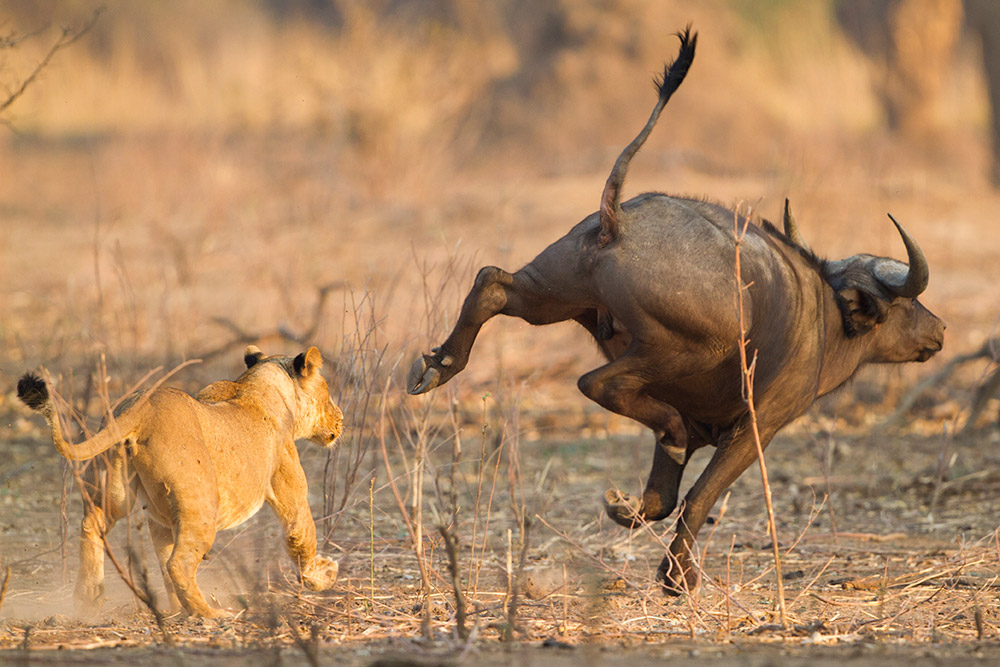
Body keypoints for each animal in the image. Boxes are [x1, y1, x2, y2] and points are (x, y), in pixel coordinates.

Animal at [406, 28, 944, 596]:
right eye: (908, 303)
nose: (940, 330)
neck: (823, 314)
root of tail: (616, 222)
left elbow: (662, 501)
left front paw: (625, 510)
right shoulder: (758, 427)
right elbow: (699, 496)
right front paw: (676, 576)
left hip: (551, 297)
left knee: (492, 282)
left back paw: (438, 366)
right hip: (682, 348)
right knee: (597, 384)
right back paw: (667, 437)